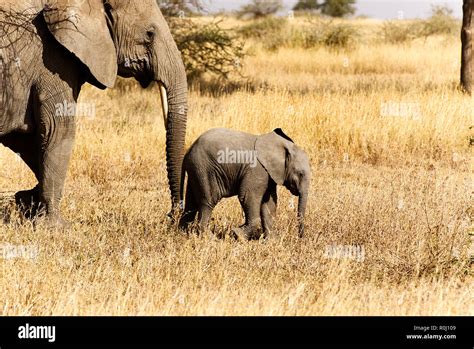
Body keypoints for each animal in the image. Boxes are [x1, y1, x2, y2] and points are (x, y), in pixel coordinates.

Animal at [0, 0, 189, 224]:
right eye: (149, 34)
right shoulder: (52, 64)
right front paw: (56, 225)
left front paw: (28, 202)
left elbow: (25, 139)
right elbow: (59, 131)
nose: (173, 215)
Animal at [178, 128, 312, 239]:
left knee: (191, 205)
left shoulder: (269, 174)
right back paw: (210, 238)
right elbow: (248, 197)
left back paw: (182, 234)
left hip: (196, 171)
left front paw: (271, 241)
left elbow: (269, 204)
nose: (300, 237)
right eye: (300, 173)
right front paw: (238, 235)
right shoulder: (257, 169)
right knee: (208, 202)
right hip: (205, 170)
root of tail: (188, 152)